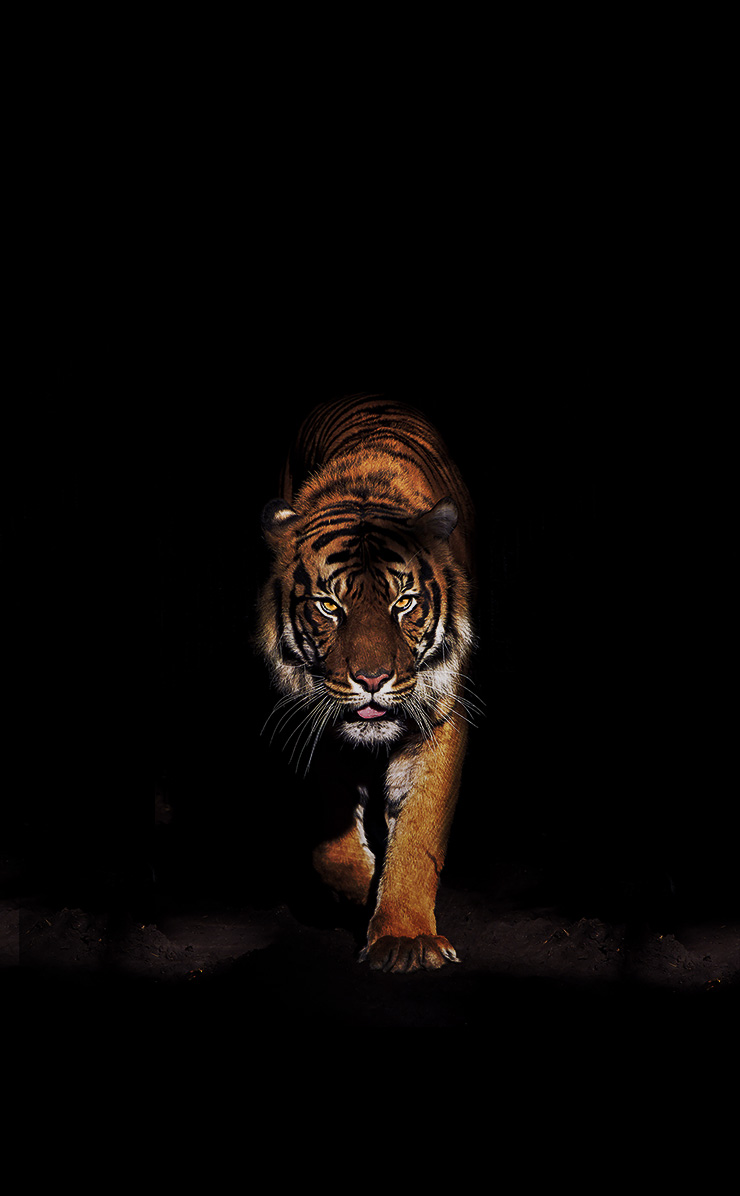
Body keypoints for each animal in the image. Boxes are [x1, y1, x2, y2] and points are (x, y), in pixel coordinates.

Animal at [256, 393, 477, 972]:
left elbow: (419, 832)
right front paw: (359, 889)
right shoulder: (314, 715)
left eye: (404, 602)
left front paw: (405, 939)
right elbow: (330, 830)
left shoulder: (440, 715)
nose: (373, 679)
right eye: (330, 607)